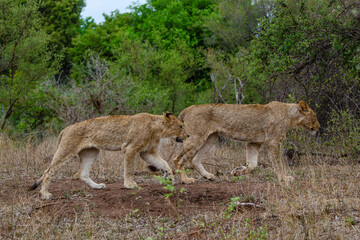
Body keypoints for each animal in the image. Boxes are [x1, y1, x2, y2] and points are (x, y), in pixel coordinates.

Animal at [29, 112, 187, 199]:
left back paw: (97, 186)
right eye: (180, 126)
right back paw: (45, 194)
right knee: (48, 171)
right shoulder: (130, 148)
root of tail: (66, 128)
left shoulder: (147, 152)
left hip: (91, 152)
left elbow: (164, 163)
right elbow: (129, 169)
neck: (157, 129)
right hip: (66, 150)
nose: (188, 135)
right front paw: (130, 185)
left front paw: (169, 178)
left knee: (82, 174)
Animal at [173, 100, 320, 185]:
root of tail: (188, 108)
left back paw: (209, 176)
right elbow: (278, 163)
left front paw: (237, 172)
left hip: (210, 138)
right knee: (177, 159)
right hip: (196, 137)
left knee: (194, 160)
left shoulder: (254, 142)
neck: (290, 116)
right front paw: (284, 178)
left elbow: (253, 164)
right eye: (315, 116)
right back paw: (185, 180)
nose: (319, 127)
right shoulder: (272, 141)